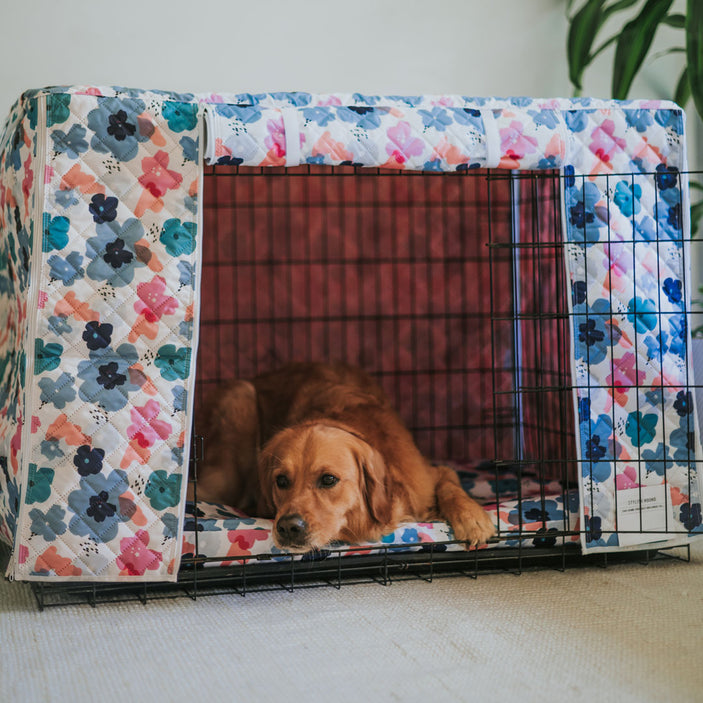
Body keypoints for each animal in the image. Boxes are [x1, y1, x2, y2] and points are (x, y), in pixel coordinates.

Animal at [194, 364, 496, 556]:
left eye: (329, 480)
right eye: (281, 480)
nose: (288, 527)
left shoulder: (430, 475)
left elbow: (450, 485)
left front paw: (472, 518)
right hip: (238, 407)